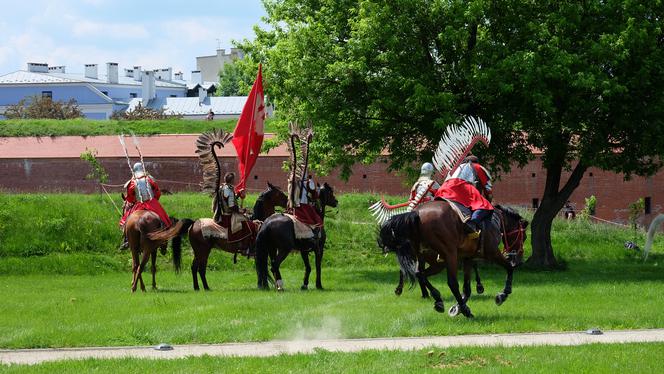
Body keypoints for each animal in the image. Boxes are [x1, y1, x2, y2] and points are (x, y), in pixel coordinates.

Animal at [150, 183, 288, 290]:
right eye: (280, 193)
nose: (288, 202)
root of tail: (194, 223)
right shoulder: (263, 251)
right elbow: (262, 268)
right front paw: (266, 285)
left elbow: (262, 268)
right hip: (203, 251)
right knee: (200, 268)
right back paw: (205, 287)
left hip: (199, 251)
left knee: (195, 267)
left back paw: (198, 287)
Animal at [378, 202, 528, 318]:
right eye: (525, 237)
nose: (519, 258)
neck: (496, 221)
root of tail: (417, 213)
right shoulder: (492, 253)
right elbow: (509, 268)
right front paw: (503, 294)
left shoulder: (468, 258)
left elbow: (467, 288)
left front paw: (458, 306)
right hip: (449, 255)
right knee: (451, 282)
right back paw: (464, 310)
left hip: (433, 260)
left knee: (419, 274)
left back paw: (437, 299)